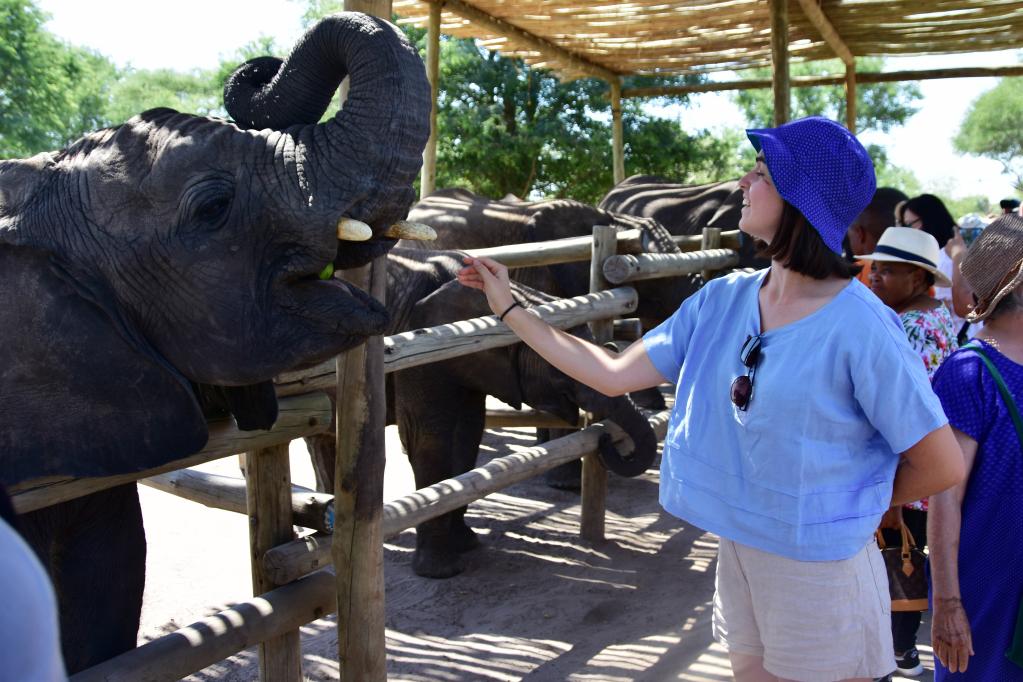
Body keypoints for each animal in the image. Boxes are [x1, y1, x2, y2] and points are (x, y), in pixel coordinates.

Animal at [304, 248, 654, 580]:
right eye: (564, 367)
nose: (605, 437)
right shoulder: (419, 351)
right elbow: (427, 440)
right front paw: (442, 571)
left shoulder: (470, 363)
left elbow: (468, 434)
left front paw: (467, 542)